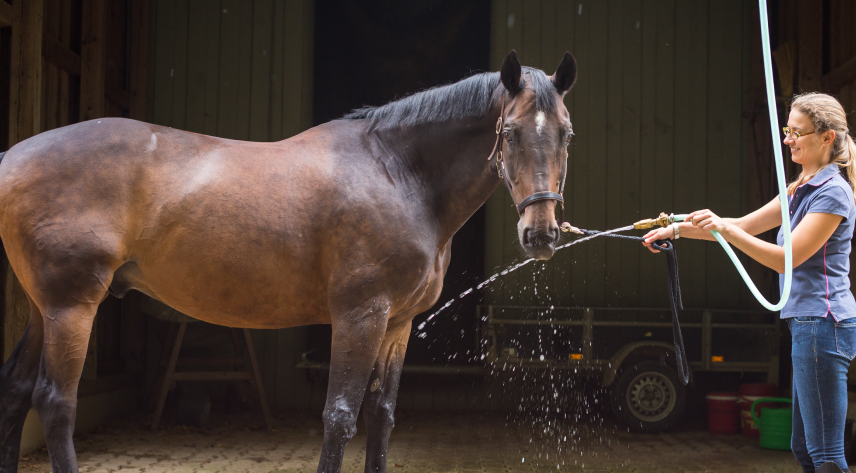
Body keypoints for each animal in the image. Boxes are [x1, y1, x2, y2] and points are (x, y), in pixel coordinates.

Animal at [0, 51, 580, 472]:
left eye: (567, 133)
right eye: (510, 133)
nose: (541, 233)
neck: (397, 172)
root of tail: (12, 156)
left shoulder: (397, 325)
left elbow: (382, 417)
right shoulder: (360, 316)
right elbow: (340, 417)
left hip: (43, 310)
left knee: (16, 392)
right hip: (72, 307)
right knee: (55, 403)